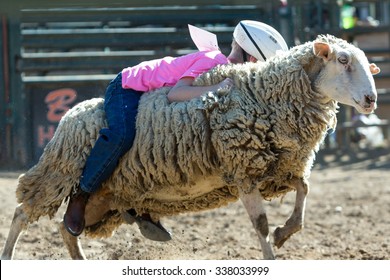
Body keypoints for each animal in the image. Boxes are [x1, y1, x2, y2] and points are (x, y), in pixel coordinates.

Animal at [0, 35, 378, 260]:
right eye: (343, 61)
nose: (372, 99)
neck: (265, 93)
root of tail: (71, 114)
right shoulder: (243, 172)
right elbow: (260, 226)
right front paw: (273, 249)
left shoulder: (278, 168)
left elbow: (304, 192)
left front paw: (285, 234)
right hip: (59, 173)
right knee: (23, 213)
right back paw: (9, 256)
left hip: (103, 197)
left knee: (66, 228)